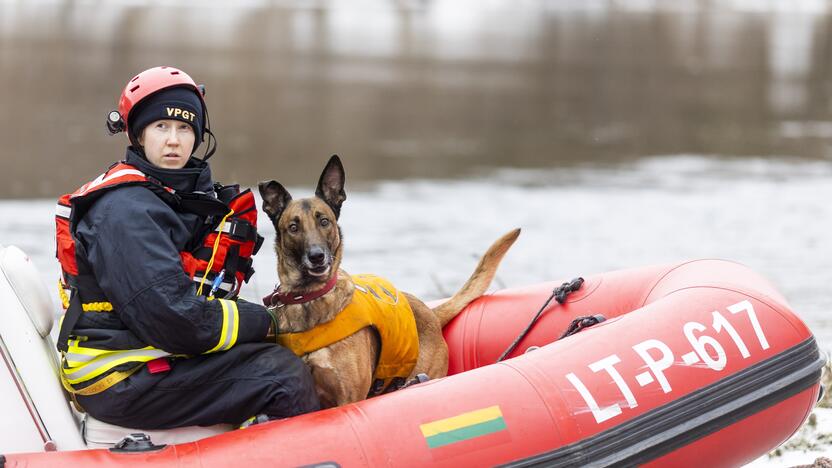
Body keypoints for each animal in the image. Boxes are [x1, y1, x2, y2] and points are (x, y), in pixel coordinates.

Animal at [260, 155, 520, 408]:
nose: (316, 256)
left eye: (324, 221)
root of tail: (431, 313)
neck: (309, 297)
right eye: (293, 227)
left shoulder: (349, 397)